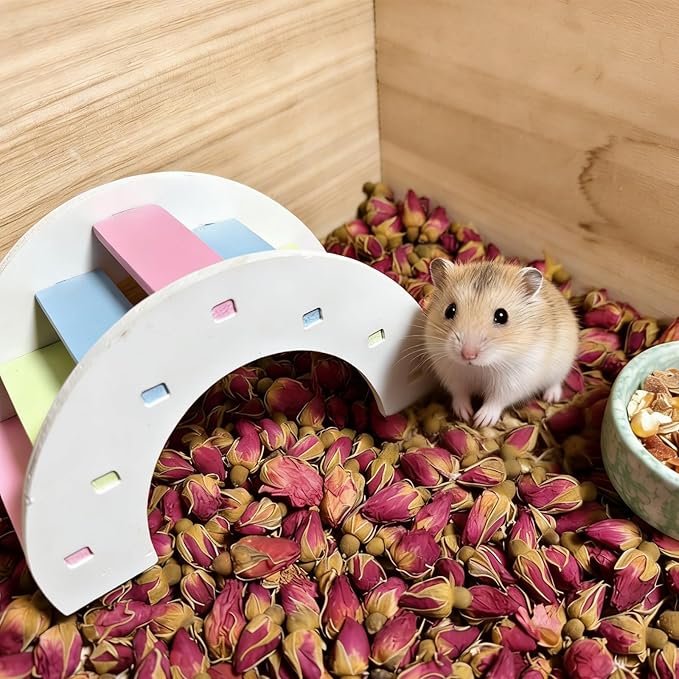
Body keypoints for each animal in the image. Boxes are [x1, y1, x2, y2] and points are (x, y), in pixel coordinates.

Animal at [423, 258, 579, 428]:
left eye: (502, 315)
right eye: (450, 310)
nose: (468, 355)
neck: (479, 367)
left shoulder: (513, 382)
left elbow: (496, 400)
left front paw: (481, 421)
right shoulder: (452, 374)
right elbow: (460, 394)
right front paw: (464, 414)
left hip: (562, 364)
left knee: (556, 382)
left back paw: (551, 397)